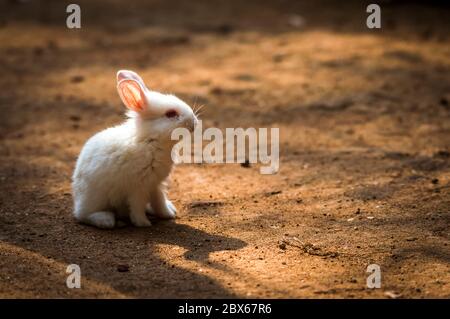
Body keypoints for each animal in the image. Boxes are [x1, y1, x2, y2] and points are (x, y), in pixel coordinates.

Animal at [71, 71, 198, 229]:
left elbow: (159, 202)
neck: (150, 141)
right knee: (83, 215)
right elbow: (137, 207)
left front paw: (168, 214)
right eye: (170, 114)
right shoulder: (138, 188)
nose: (194, 123)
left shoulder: (155, 184)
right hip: (94, 199)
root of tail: (78, 199)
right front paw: (143, 223)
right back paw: (105, 220)